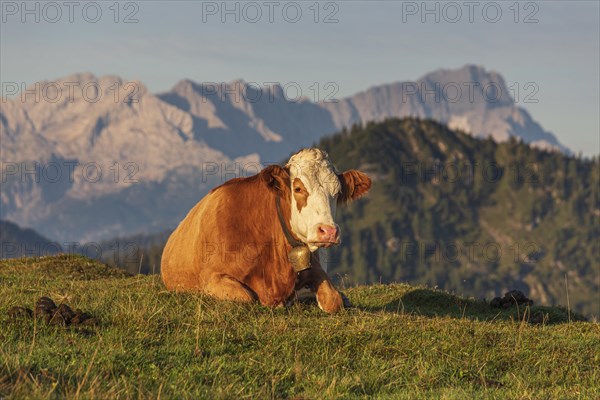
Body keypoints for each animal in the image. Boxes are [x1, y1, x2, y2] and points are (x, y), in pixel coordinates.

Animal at [162, 147, 372, 312]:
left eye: (337, 193)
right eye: (298, 189)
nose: (328, 231)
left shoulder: (315, 268)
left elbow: (334, 299)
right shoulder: (211, 277)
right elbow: (247, 297)